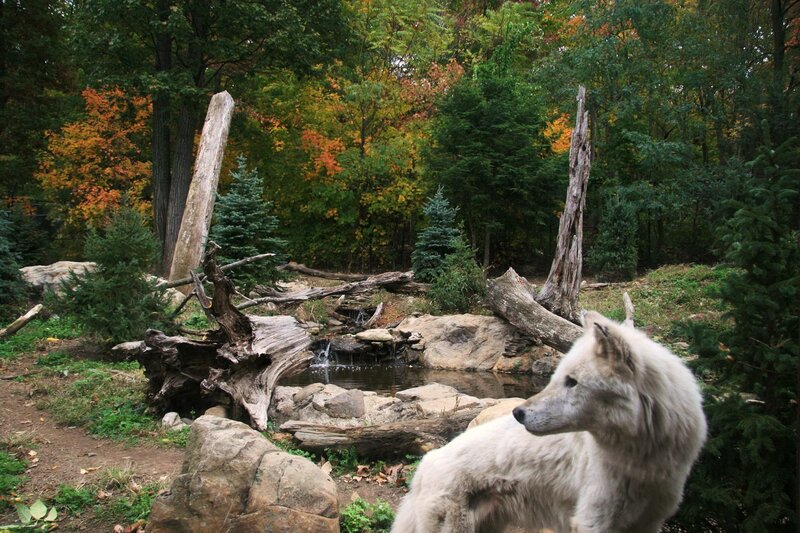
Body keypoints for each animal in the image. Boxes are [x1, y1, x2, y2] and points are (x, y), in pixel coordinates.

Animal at [391, 311, 706, 533]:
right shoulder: (593, 520)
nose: (518, 413)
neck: (642, 455)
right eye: (558, 377)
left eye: (572, 382)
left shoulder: (648, 521)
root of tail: (425, 465)